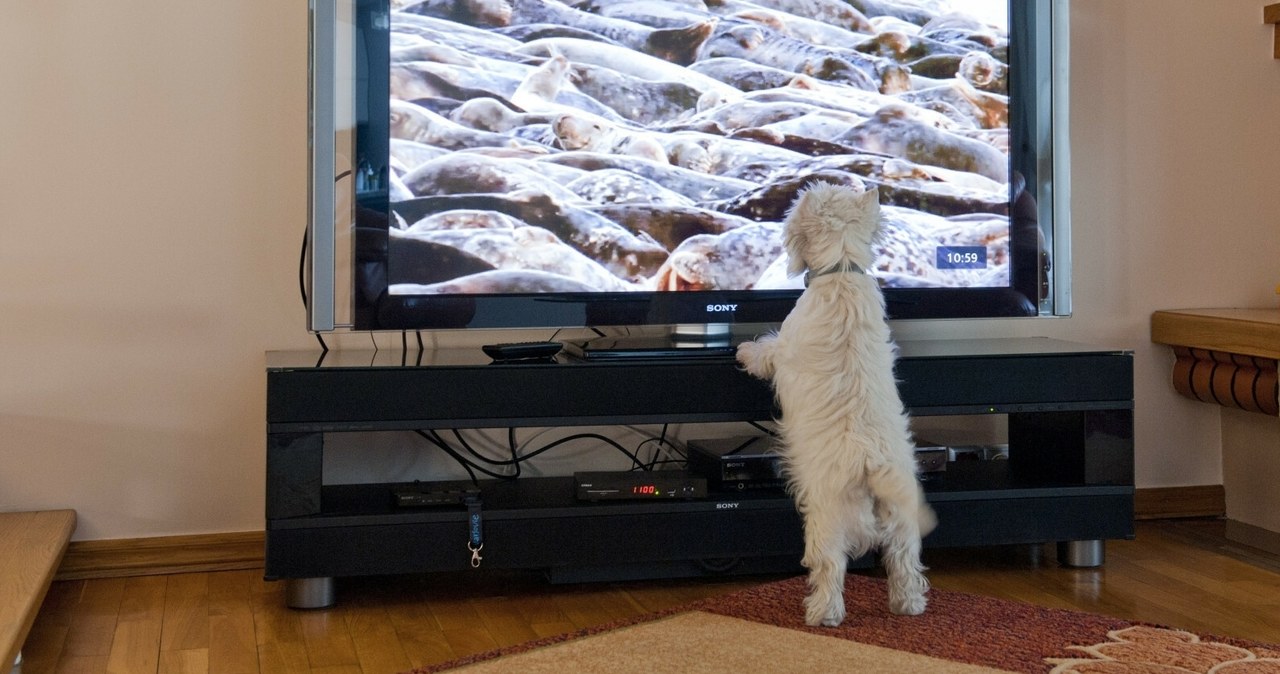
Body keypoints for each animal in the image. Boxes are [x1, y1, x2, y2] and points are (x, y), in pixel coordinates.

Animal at [737, 182, 936, 626]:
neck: (842, 270)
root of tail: (872, 464)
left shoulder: (785, 346)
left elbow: (767, 350)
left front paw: (744, 352)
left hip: (825, 519)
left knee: (830, 566)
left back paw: (821, 613)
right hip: (901, 521)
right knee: (904, 563)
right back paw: (908, 605)